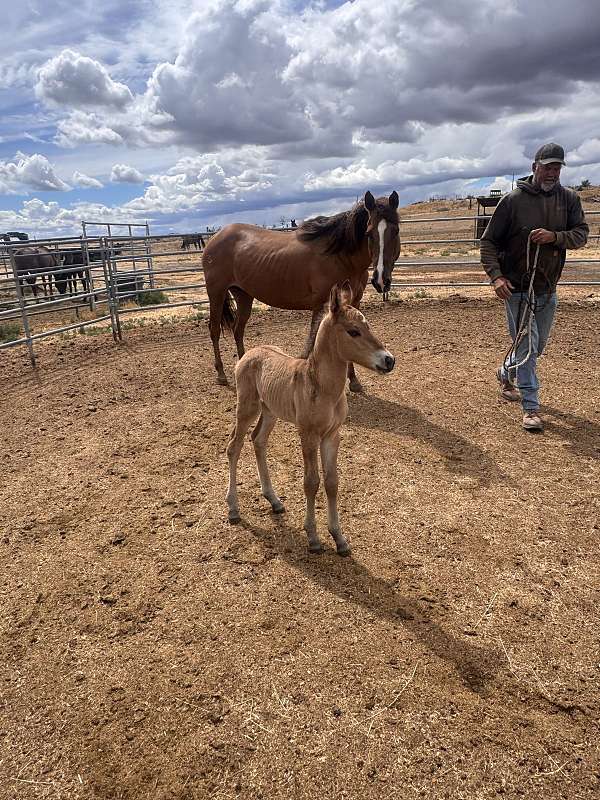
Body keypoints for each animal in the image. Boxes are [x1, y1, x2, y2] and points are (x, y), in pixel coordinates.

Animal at [203, 190, 400, 390]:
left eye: (396, 231)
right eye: (369, 233)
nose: (381, 280)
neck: (339, 256)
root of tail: (215, 238)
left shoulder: (353, 302)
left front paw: (353, 380)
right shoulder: (322, 305)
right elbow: (314, 341)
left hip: (243, 295)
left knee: (238, 330)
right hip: (216, 293)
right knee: (214, 330)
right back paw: (221, 374)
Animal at [225, 282, 395, 555]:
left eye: (368, 326)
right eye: (353, 332)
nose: (389, 360)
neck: (324, 389)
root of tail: (249, 353)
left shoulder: (332, 434)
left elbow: (332, 481)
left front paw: (339, 538)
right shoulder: (308, 434)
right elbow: (311, 481)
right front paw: (313, 537)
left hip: (270, 411)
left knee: (258, 441)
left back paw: (274, 500)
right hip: (247, 408)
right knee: (234, 446)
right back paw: (233, 508)